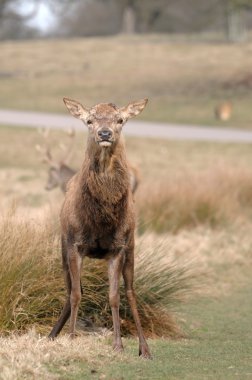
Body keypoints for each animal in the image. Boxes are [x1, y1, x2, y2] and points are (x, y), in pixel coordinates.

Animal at [49, 96, 152, 358]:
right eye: (89, 120)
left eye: (120, 120)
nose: (104, 133)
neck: (100, 221)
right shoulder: (74, 243)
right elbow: (76, 294)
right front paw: (71, 338)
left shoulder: (118, 247)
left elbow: (115, 296)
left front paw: (118, 344)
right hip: (62, 247)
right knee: (70, 290)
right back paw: (53, 334)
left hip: (132, 245)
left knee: (131, 292)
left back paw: (145, 348)